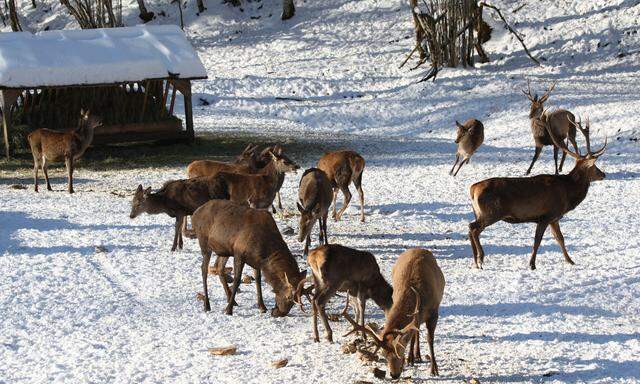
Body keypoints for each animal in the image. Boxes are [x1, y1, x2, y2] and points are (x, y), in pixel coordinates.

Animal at [344, 249, 444, 378]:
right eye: (384, 354)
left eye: (399, 352)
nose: (394, 375)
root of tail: (418, 248)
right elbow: (412, 334)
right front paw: (409, 359)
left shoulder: (434, 312)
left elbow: (430, 339)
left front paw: (434, 369)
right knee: (415, 331)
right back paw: (413, 357)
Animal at [468, 117, 608, 270]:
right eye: (594, 166)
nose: (603, 174)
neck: (567, 193)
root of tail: (473, 189)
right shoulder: (546, 215)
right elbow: (538, 241)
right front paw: (532, 264)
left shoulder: (554, 218)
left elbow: (560, 239)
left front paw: (570, 261)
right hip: (491, 212)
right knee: (473, 228)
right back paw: (480, 258)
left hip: (479, 212)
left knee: (470, 228)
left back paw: (475, 261)